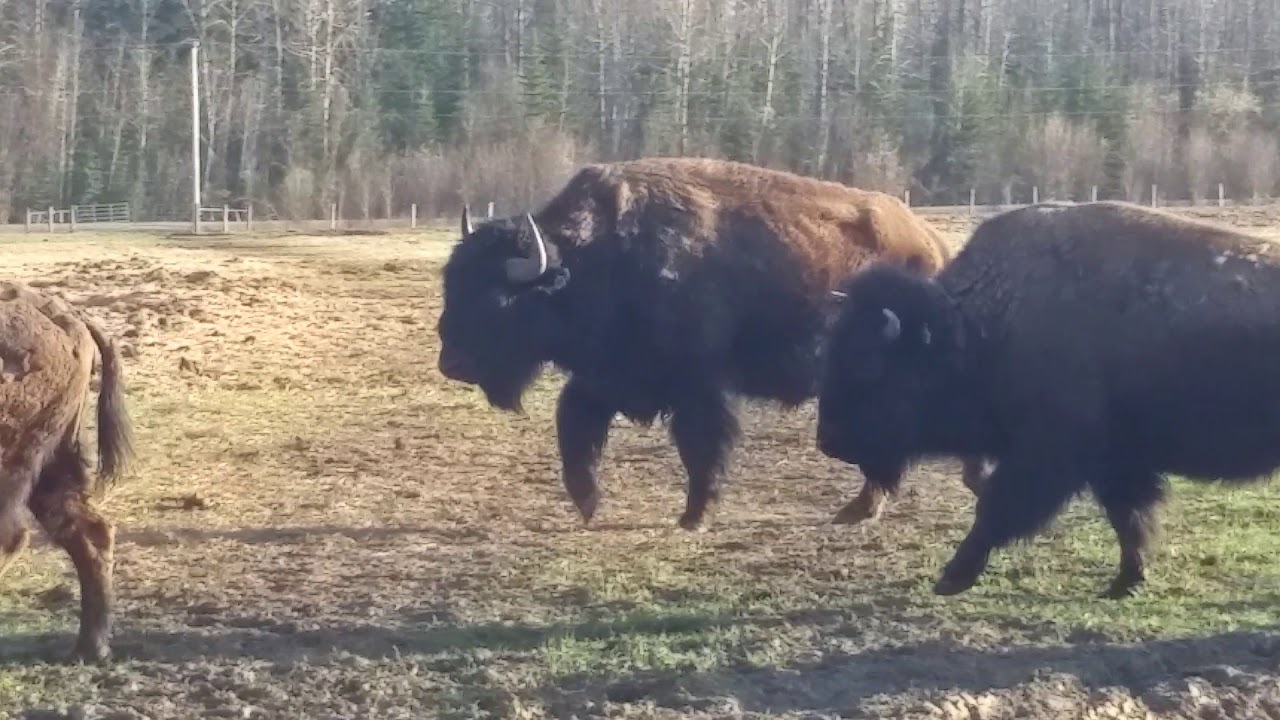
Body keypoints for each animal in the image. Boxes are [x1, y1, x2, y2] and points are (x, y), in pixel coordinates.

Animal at [436, 157, 986, 529]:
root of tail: (934, 244)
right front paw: (588, 503)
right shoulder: (606, 376)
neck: (593, 260)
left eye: (498, 299)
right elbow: (574, 426)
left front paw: (694, 516)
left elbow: (700, 445)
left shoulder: (698, 386)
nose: (451, 362)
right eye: (451, 282)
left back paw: (871, 506)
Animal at [817, 200, 1280, 597]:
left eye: (870, 367)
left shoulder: (1048, 454)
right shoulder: (1114, 462)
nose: (828, 441)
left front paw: (951, 578)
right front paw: (1126, 581)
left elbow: (998, 508)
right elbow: (1129, 519)